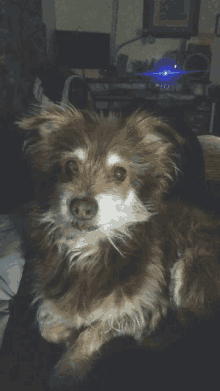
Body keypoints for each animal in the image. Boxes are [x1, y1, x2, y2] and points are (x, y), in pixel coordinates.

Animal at [16, 103, 220, 388]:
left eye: (120, 173)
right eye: (71, 166)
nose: (81, 207)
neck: (89, 249)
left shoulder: (144, 306)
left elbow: (93, 332)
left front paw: (67, 371)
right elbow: (49, 327)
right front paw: (67, 333)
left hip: (192, 266)